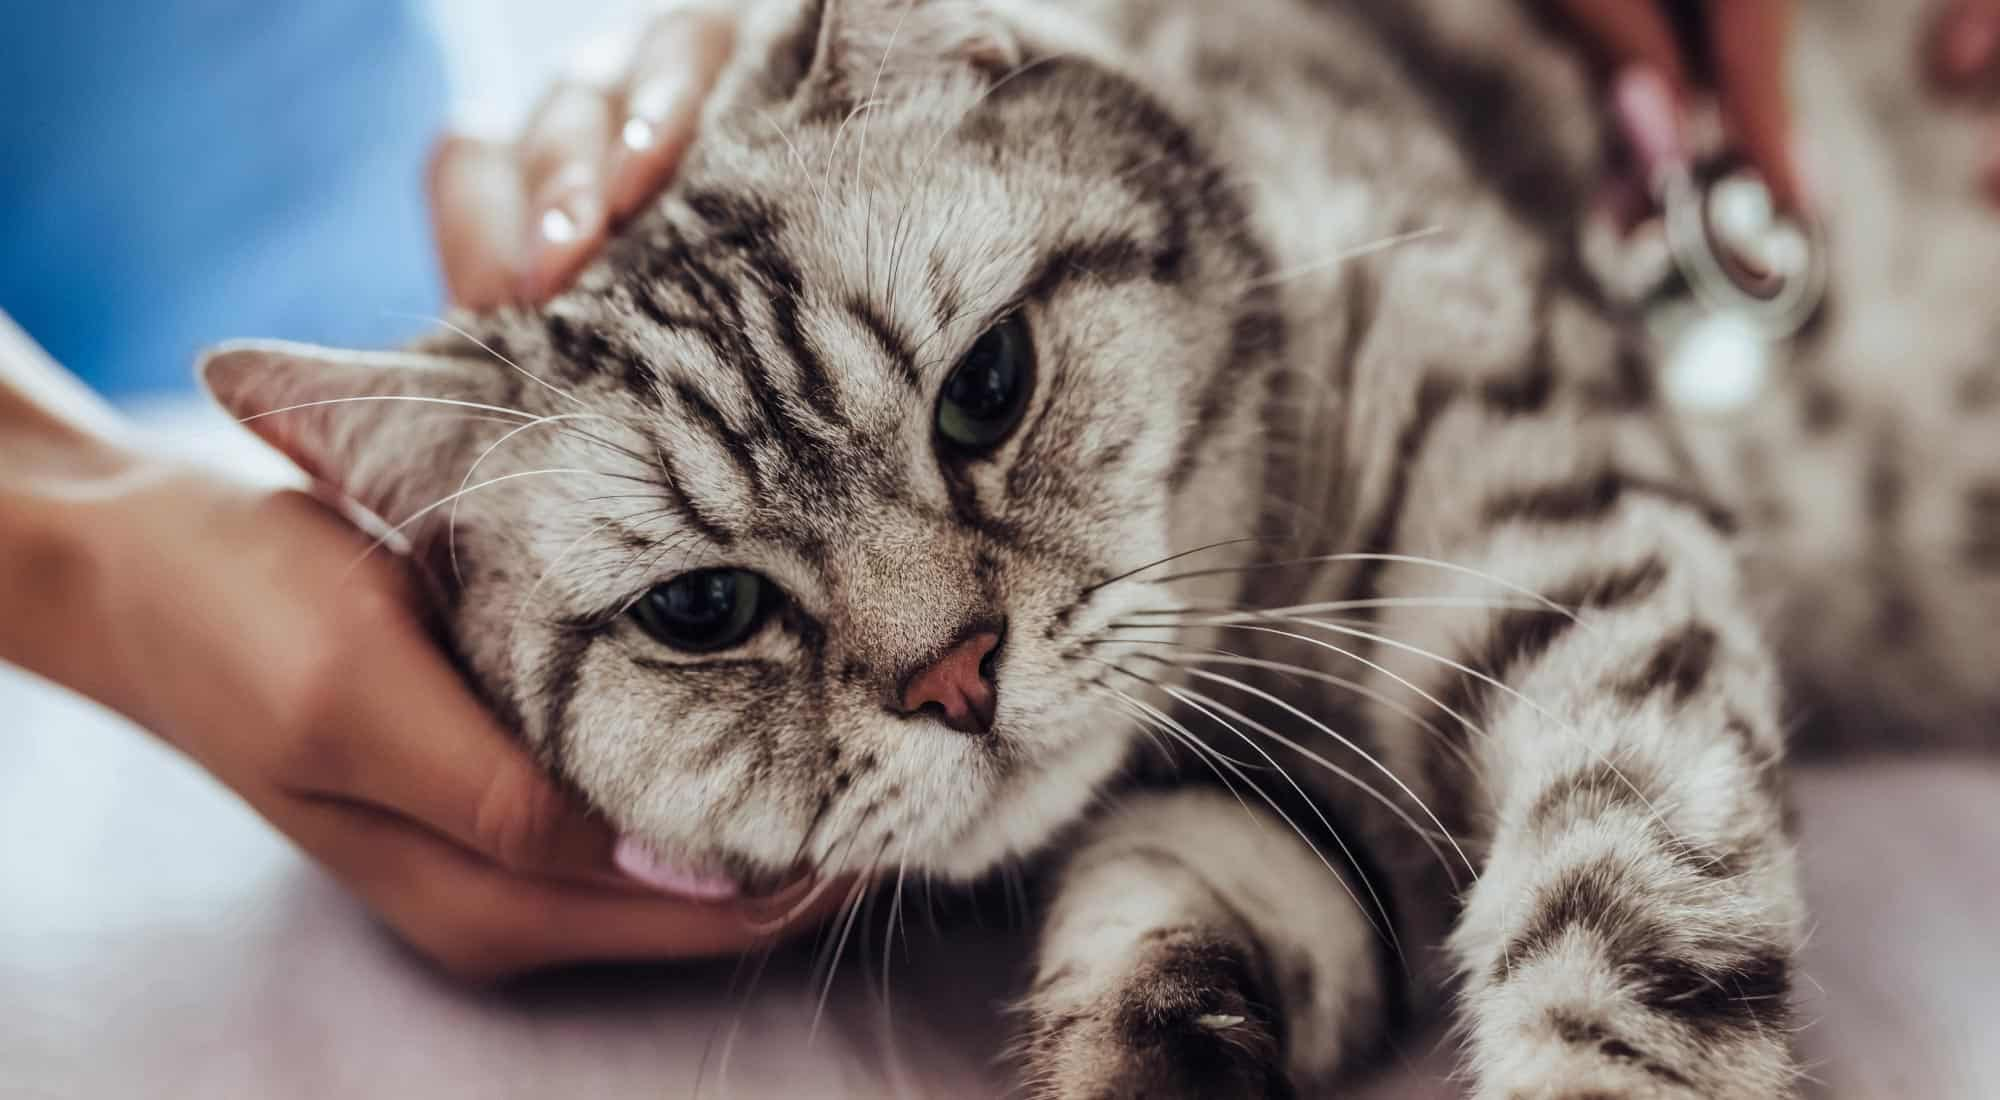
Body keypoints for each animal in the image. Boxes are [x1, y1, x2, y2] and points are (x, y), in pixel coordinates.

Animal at [195, 2, 1992, 1100]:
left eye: (986, 387)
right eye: (705, 609)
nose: (954, 677)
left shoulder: (1576, 565)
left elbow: (1618, 937)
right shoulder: (1242, 830)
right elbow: (1140, 963)